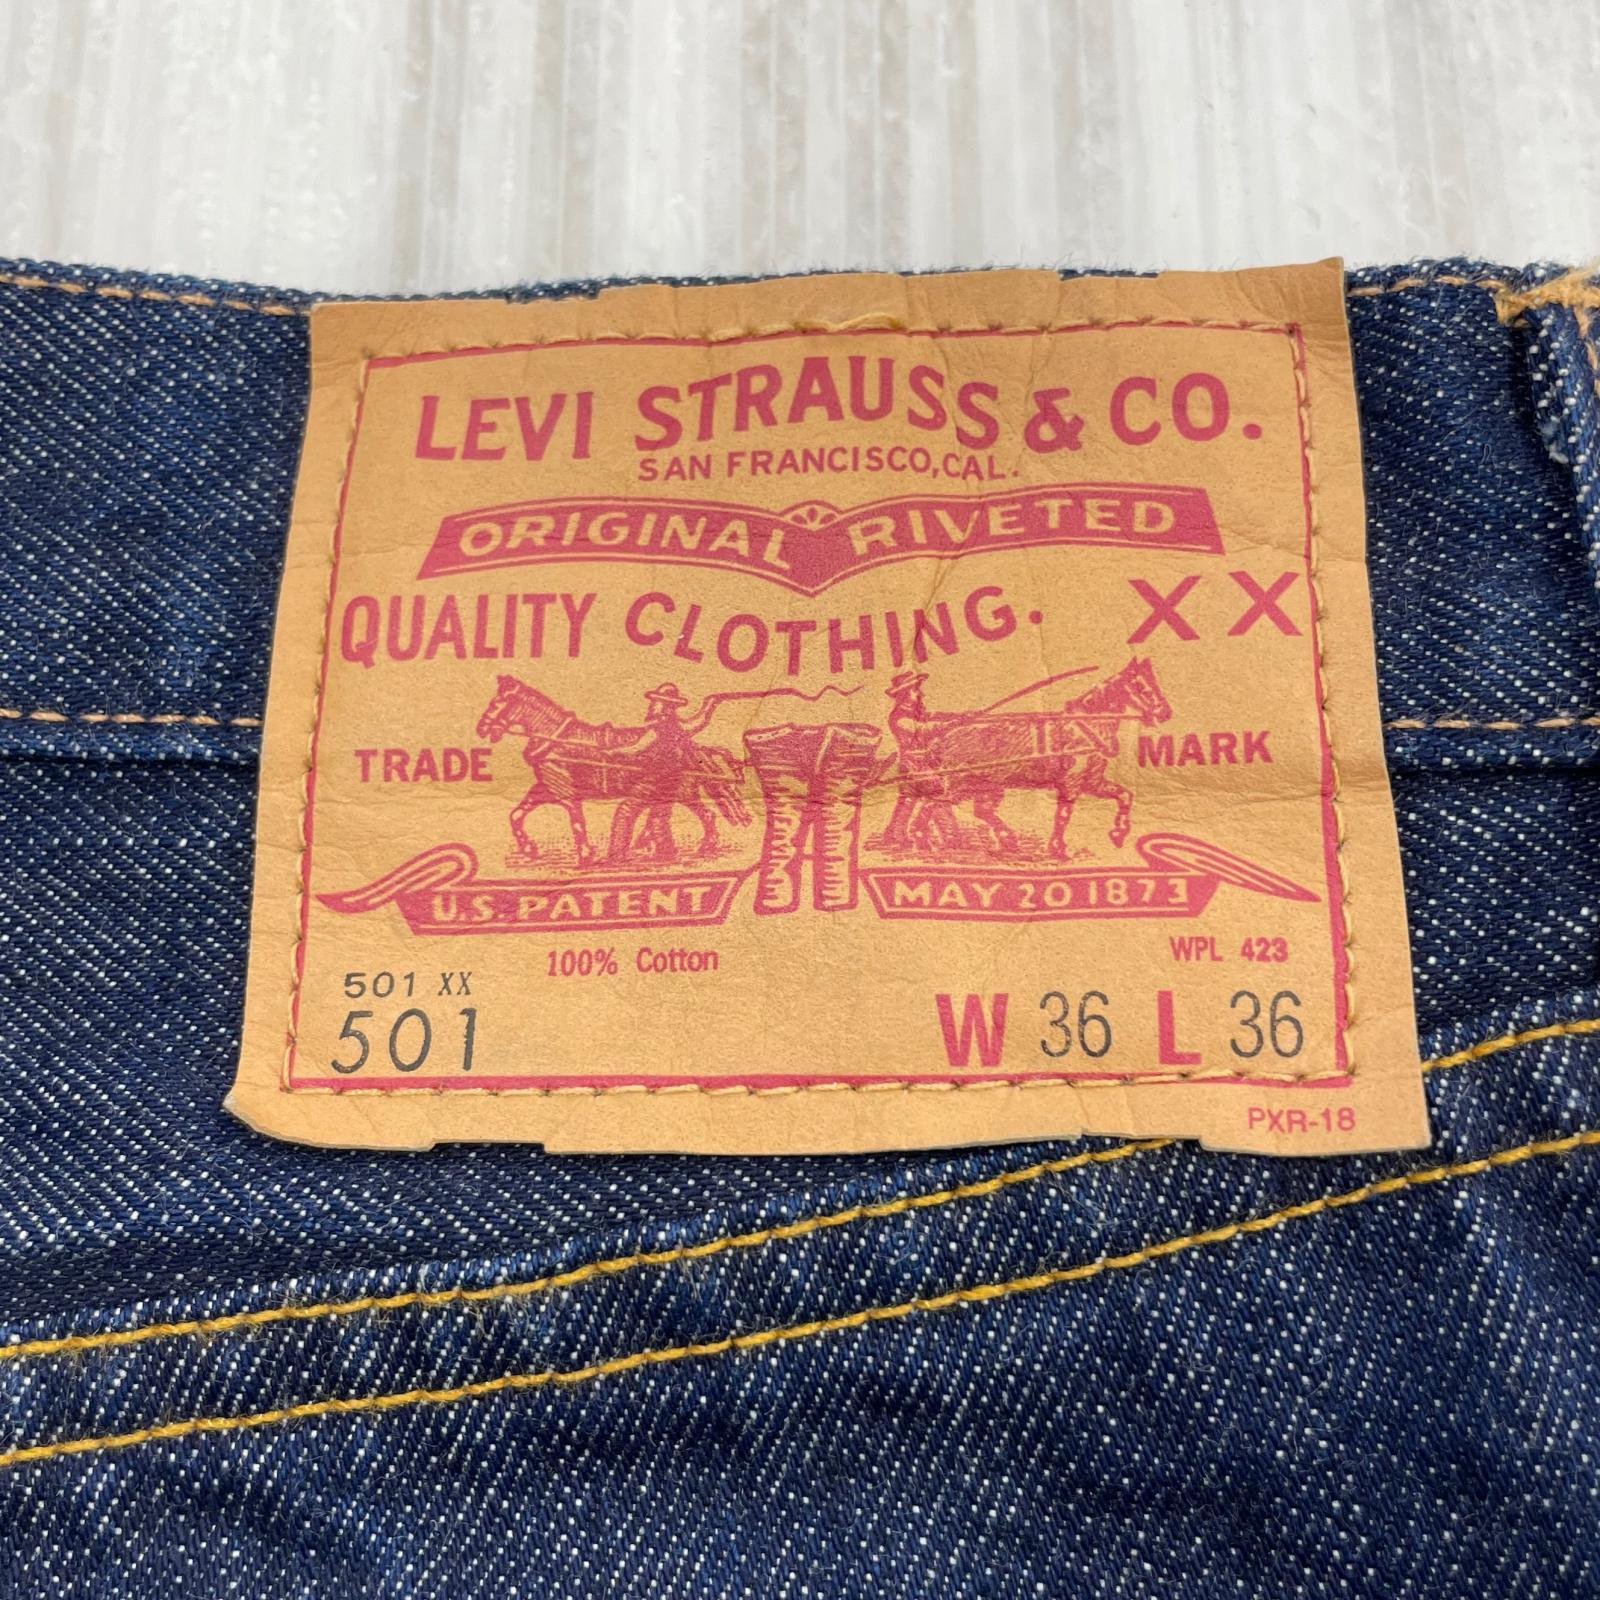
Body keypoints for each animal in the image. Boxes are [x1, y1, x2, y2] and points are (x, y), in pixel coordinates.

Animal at [474, 675, 750, 867]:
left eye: (497, 702)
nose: (482, 728)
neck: (556, 738)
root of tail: (690, 746)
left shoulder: (565, 792)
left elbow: (576, 821)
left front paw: (586, 855)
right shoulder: (546, 788)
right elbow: (516, 814)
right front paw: (529, 849)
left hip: (680, 791)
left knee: (700, 815)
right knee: (682, 816)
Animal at [884, 657, 1172, 859]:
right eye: (1140, 686)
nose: (1165, 712)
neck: (1085, 727)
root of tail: (942, 738)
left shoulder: (1092, 781)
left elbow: (1125, 795)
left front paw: (1118, 833)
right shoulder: (1070, 784)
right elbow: (1064, 814)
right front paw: (1058, 848)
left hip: (988, 785)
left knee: (970, 809)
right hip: (960, 784)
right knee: (933, 804)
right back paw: (922, 840)